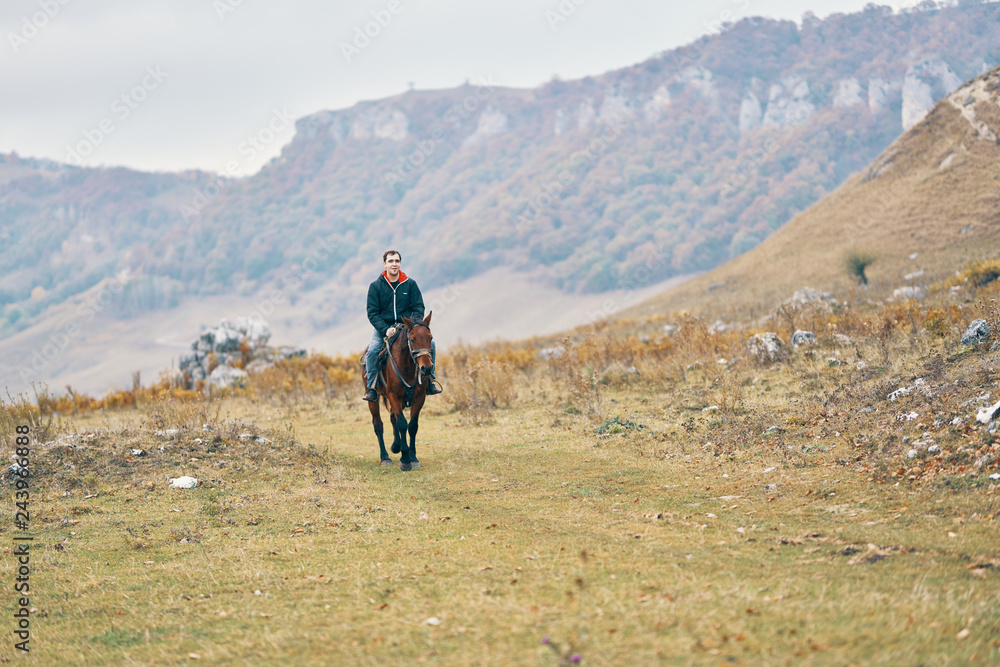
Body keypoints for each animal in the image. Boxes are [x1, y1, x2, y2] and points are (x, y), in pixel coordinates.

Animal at [363, 312, 434, 471]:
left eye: (430, 338)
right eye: (412, 339)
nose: (426, 368)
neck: (407, 365)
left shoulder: (419, 397)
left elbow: (412, 426)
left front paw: (413, 457)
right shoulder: (393, 395)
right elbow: (402, 423)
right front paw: (405, 460)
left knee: (392, 417)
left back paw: (396, 446)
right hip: (373, 400)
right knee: (378, 425)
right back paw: (385, 457)